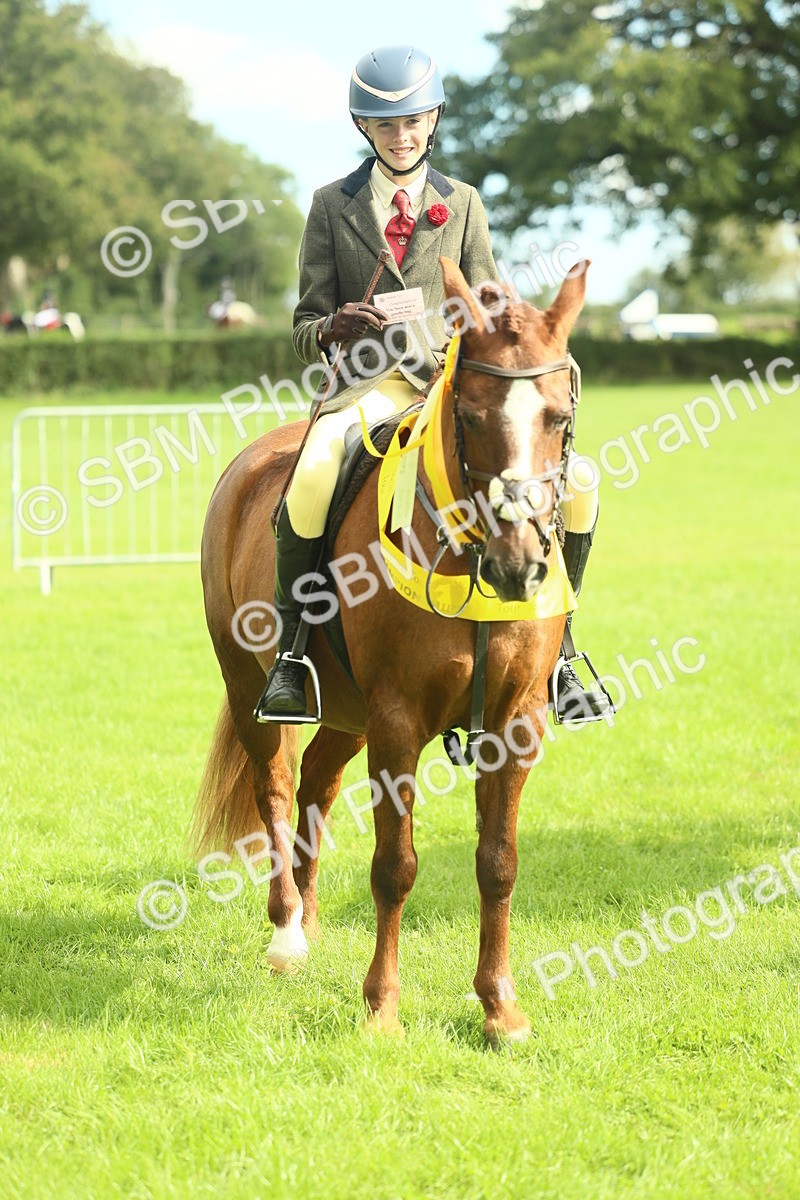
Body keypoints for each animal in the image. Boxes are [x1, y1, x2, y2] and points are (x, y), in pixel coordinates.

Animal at [191, 256, 589, 1044]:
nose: (518, 567)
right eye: (469, 414)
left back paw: (311, 918)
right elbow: (394, 866)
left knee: (316, 786)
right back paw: (287, 934)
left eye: (558, 418)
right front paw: (381, 1007)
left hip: (348, 715)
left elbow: (498, 862)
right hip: (252, 686)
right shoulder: (398, 720)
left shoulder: (515, 724)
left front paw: (500, 1008)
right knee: (275, 787)